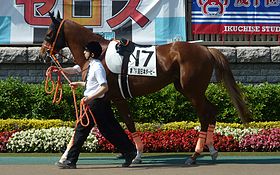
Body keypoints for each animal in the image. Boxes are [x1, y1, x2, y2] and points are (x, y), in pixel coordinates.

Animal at [38, 13, 249, 165]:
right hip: (189, 89)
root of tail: (206, 49)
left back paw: (194, 156)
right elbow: (95, 124)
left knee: (204, 116)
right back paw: (212, 149)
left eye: (48, 34)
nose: (41, 54)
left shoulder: (114, 98)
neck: (100, 54)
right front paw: (65, 157)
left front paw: (136, 155)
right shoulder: (107, 98)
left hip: (193, 92)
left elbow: (125, 123)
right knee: (212, 110)